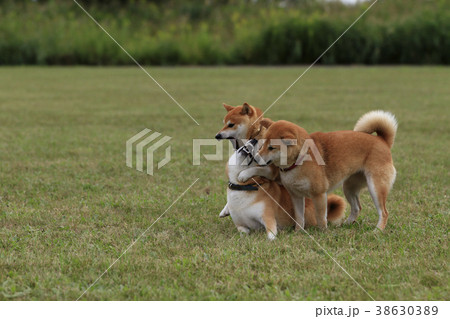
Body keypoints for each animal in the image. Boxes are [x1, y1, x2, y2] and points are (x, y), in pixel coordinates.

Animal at [216, 103, 346, 240]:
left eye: (231, 124)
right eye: (224, 123)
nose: (217, 136)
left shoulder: (270, 169)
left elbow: (254, 169)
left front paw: (243, 175)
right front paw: (225, 209)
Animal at [255, 111, 400, 231]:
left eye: (272, 147)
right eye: (262, 144)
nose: (255, 157)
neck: (300, 158)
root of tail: (382, 140)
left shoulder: (319, 194)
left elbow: (320, 217)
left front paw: (323, 232)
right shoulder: (295, 195)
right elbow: (299, 217)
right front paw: (298, 232)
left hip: (375, 187)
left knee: (384, 212)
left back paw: (377, 230)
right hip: (349, 187)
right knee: (357, 208)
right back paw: (346, 225)